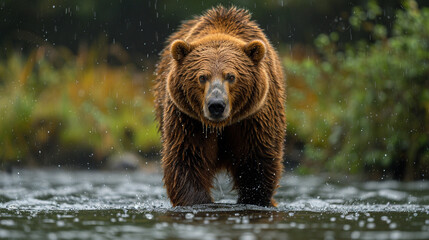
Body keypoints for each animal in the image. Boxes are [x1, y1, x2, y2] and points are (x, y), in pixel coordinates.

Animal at [153, 6, 284, 207]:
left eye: (231, 76)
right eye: (202, 77)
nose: (216, 105)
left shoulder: (254, 118)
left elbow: (257, 162)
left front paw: (254, 198)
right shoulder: (188, 120)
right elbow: (187, 159)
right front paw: (198, 201)